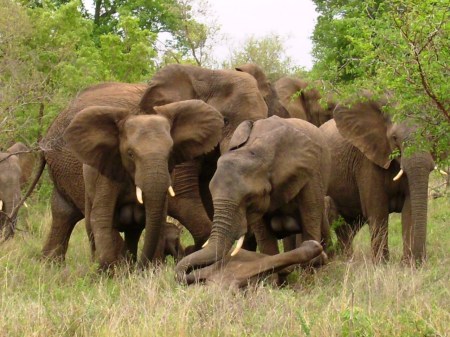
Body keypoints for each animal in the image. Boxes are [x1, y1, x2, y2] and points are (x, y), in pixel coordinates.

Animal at [40, 64, 268, 266]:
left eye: (266, 117)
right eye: (225, 120)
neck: (209, 75)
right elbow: (183, 197)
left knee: (63, 213)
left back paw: (51, 265)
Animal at [318, 98, 434, 264]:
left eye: (431, 135)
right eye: (394, 138)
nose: (421, 259)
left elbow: (410, 209)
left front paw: (408, 265)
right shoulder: (366, 161)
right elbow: (377, 210)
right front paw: (382, 264)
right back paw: (346, 260)